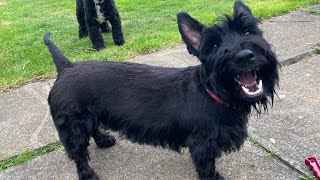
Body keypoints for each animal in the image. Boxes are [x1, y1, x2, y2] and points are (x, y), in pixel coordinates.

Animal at [44, 1, 278, 179]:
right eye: (214, 46)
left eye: (248, 32)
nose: (245, 56)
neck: (214, 92)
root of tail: (66, 66)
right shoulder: (202, 146)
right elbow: (206, 167)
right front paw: (213, 177)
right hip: (73, 125)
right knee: (78, 153)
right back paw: (88, 174)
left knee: (93, 129)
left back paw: (103, 140)